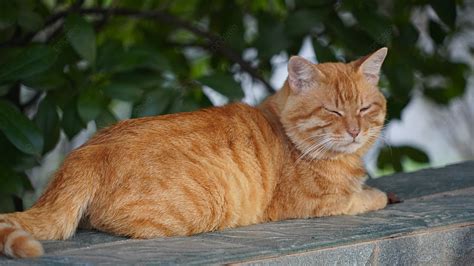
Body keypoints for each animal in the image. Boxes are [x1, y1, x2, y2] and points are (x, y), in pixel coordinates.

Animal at [0, 47, 388, 258]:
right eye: (333, 111)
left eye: (364, 109)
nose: (354, 131)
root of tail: (88, 151)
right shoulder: (320, 204)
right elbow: (364, 197)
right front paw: (379, 194)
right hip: (205, 205)